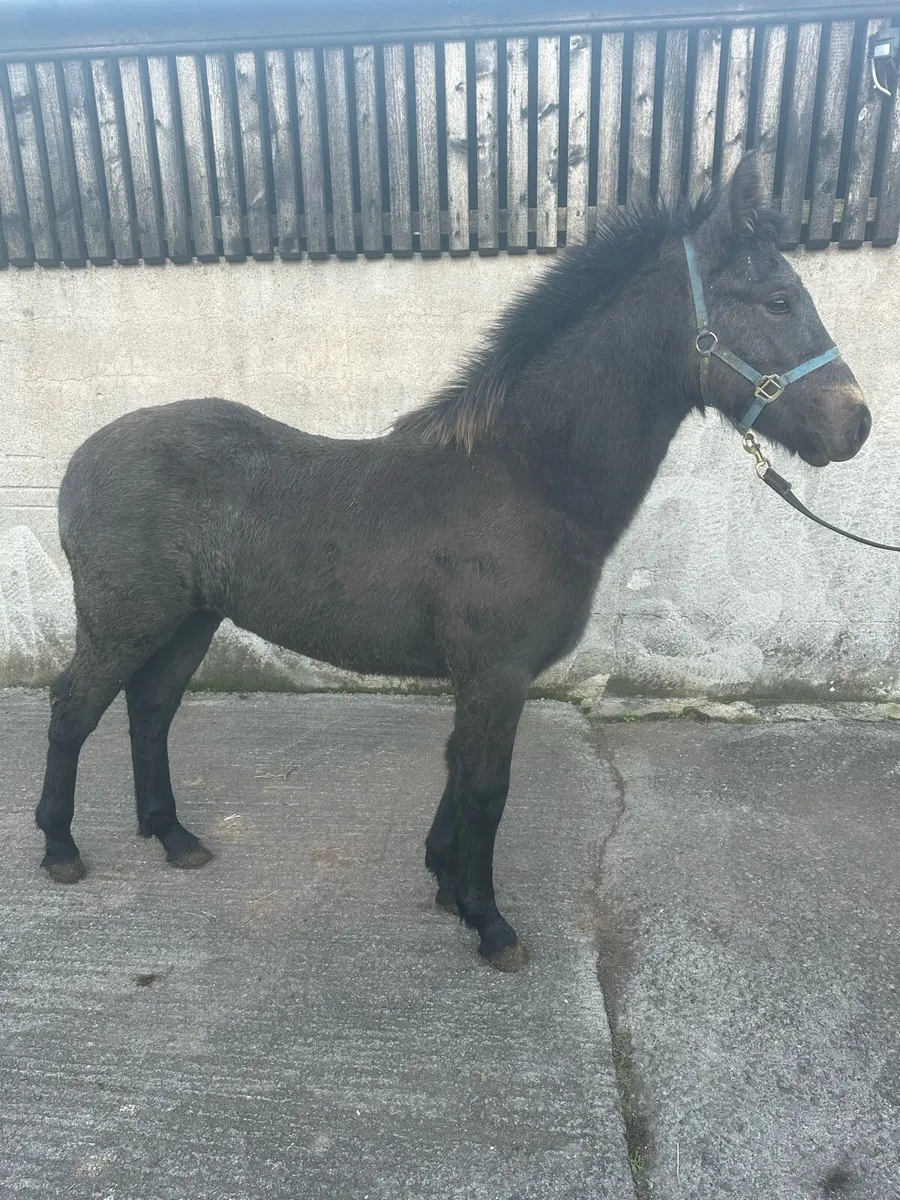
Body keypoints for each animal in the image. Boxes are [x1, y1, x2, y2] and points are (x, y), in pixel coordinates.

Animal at [35, 153, 870, 971]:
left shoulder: (482, 678)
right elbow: (486, 787)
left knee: (150, 710)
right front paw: (489, 922)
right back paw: (60, 847)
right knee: (74, 709)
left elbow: (458, 773)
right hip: (124, 622)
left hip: (190, 622)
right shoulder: (497, 674)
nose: (855, 424)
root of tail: (81, 458)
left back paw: (175, 838)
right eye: (777, 300)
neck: (527, 477)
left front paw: (445, 881)